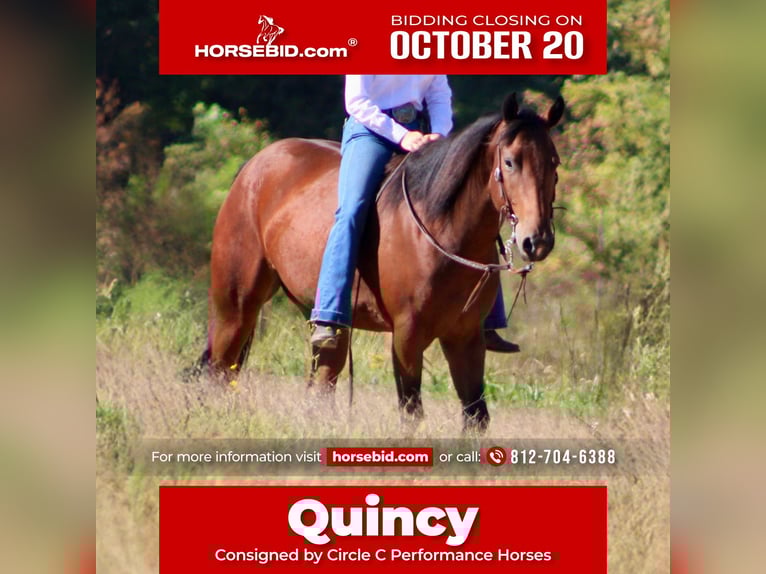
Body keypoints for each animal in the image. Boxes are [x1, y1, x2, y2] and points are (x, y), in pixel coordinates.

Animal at [196, 93, 564, 432]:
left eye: (554, 163)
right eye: (510, 162)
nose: (537, 240)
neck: (439, 229)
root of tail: (253, 166)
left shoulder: (466, 337)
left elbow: (476, 416)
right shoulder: (406, 336)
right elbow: (411, 413)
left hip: (324, 322)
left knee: (321, 383)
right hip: (235, 307)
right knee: (219, 370)